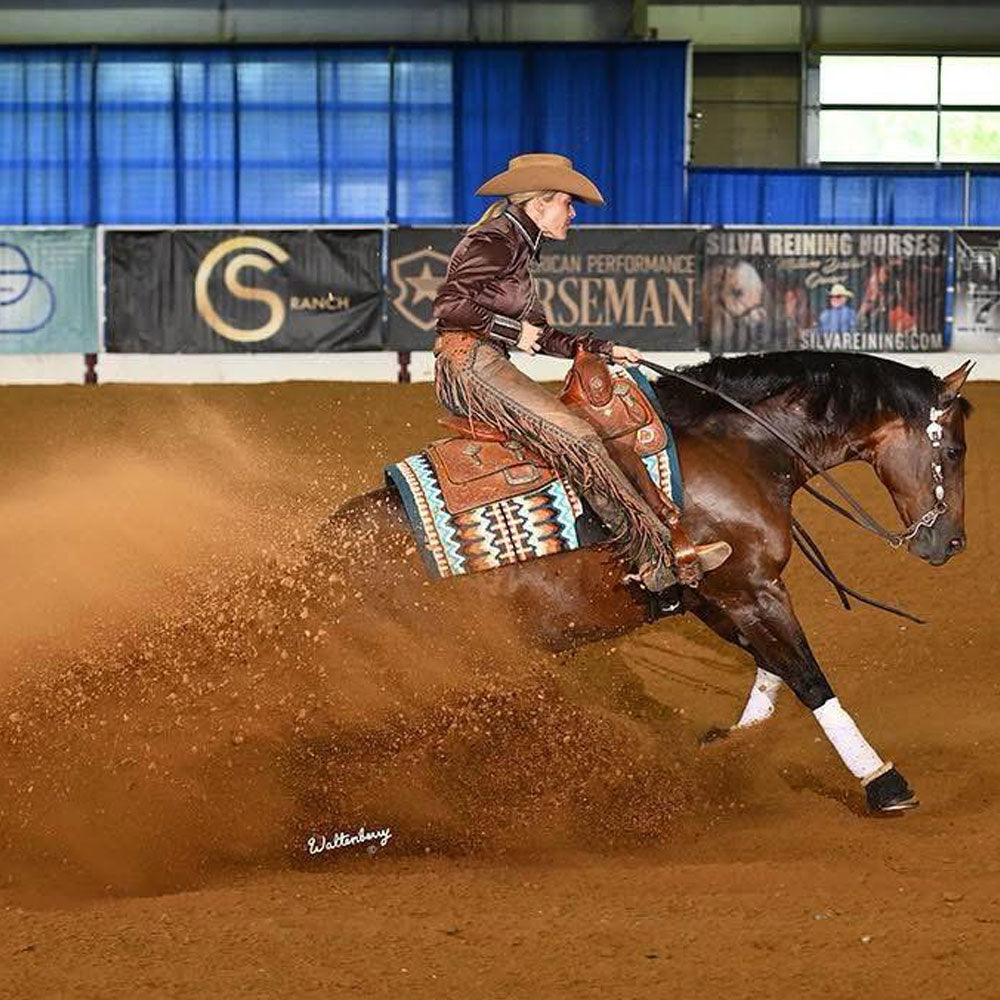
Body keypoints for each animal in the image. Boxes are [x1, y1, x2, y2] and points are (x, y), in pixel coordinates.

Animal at [329, 351, 973, 814]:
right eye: (955, 450)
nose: (951, 545)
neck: (737, 447)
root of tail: (323, 558)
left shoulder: (715, 600)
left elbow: (773, 669)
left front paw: (731, 744)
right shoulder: (748, 590)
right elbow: (807, 677)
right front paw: (884, 783)